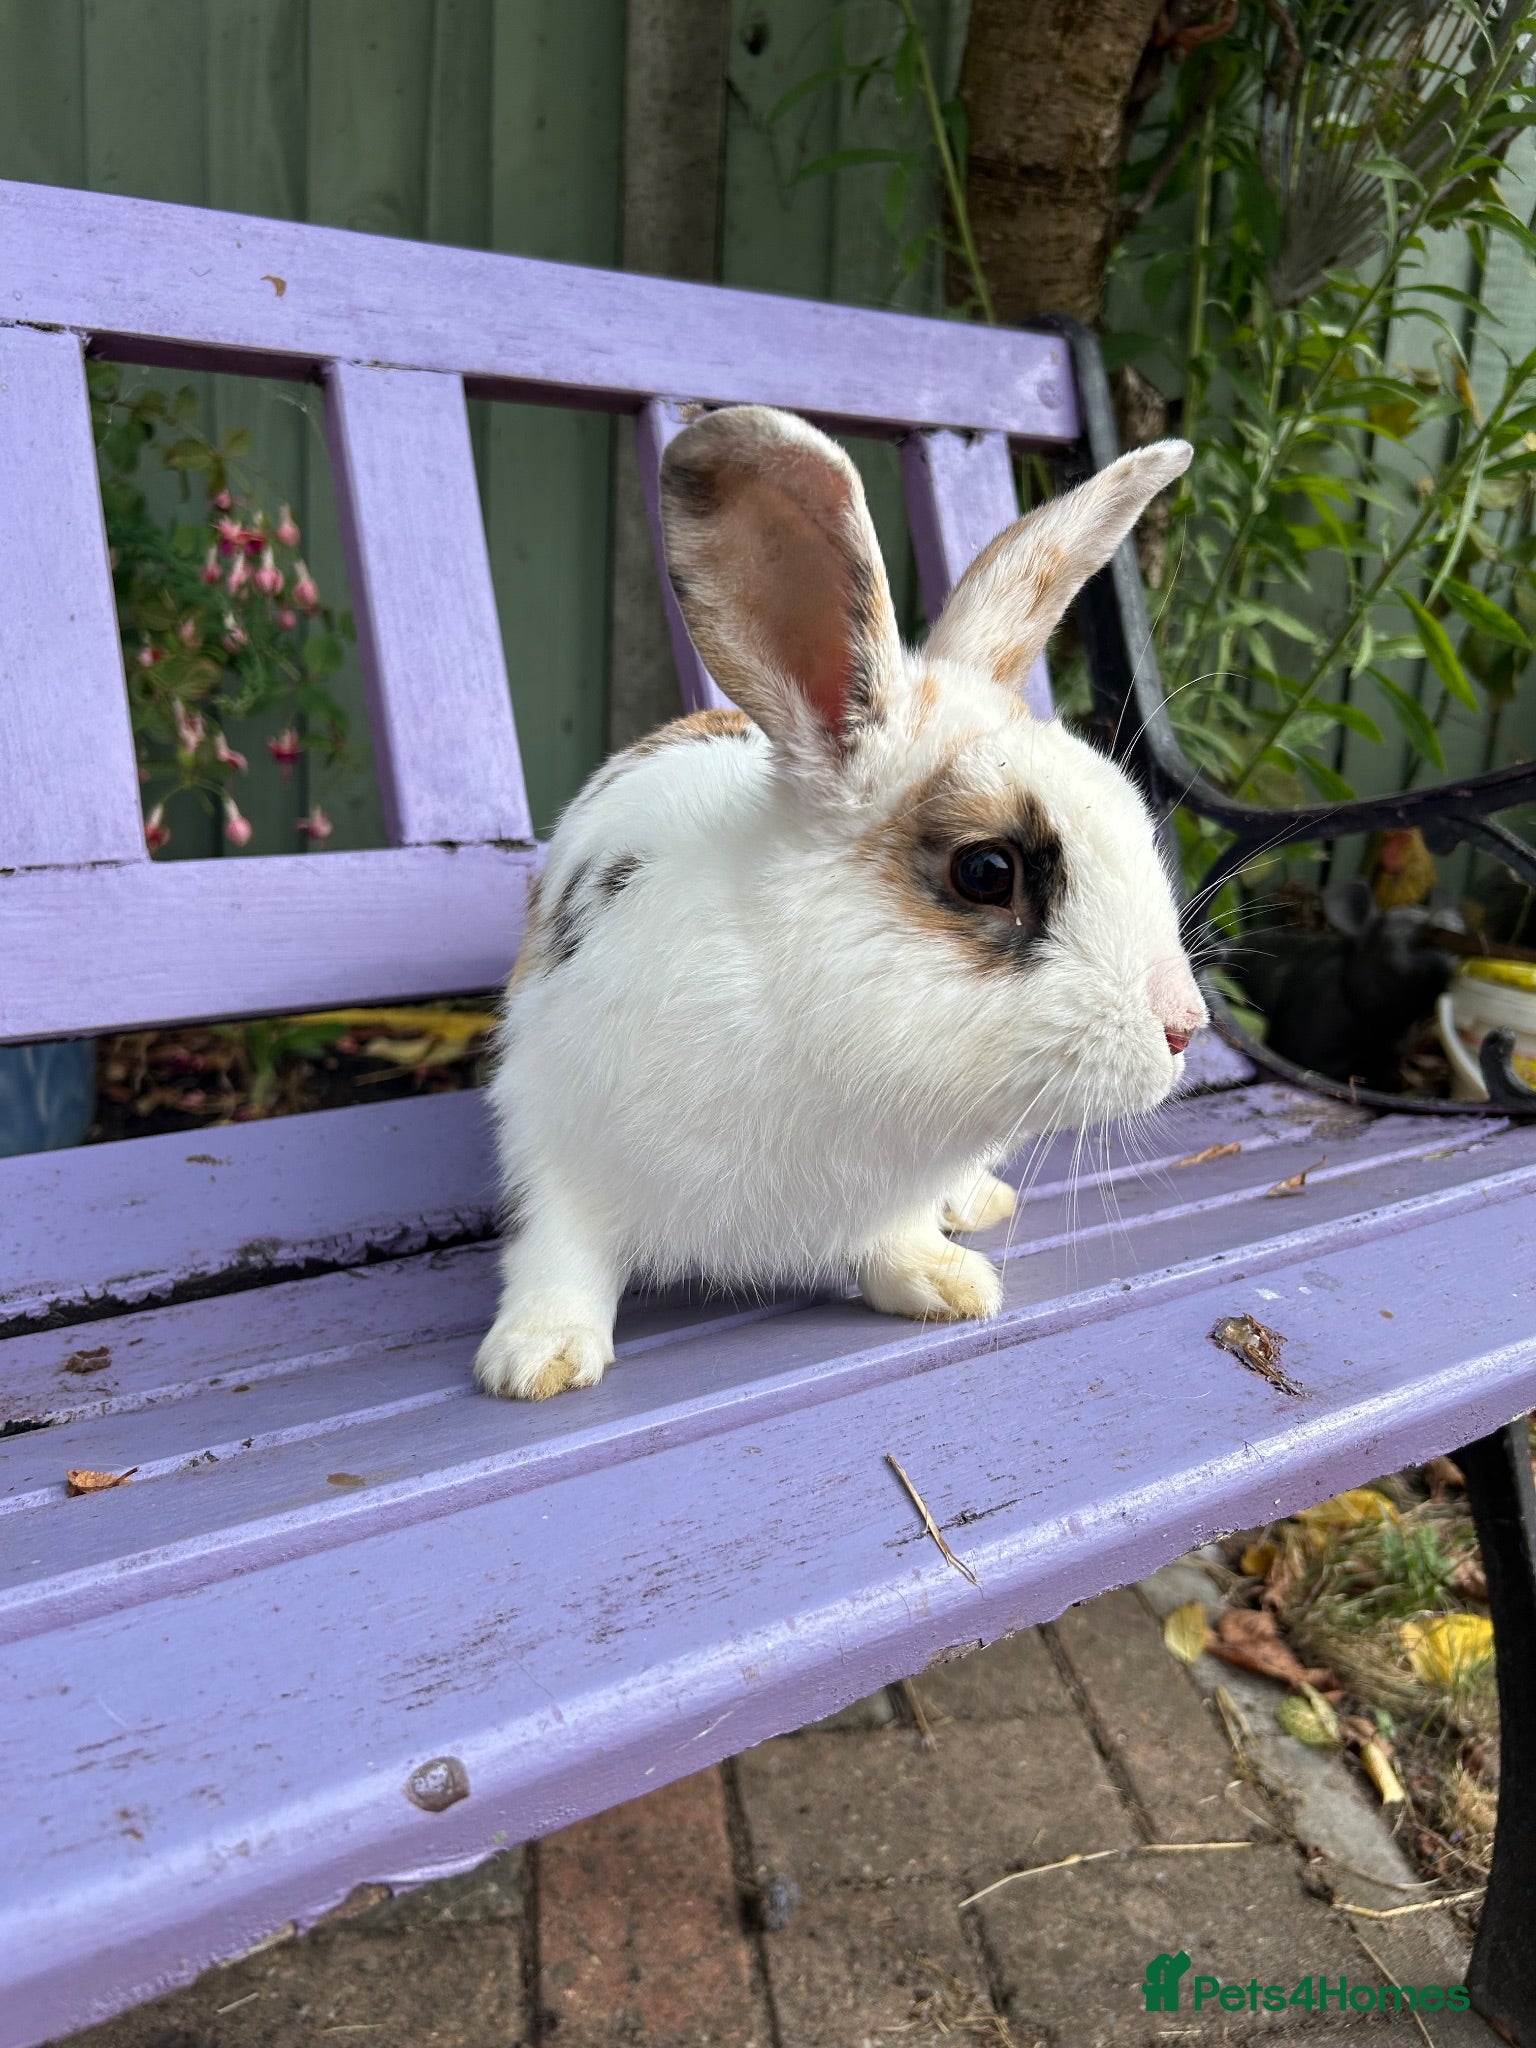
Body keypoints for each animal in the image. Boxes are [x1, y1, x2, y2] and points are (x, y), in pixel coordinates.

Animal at [475, 405, 1205, 1400]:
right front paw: (537, 1360)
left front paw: (948, 1282)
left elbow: (892, 1239)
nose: (1186, 1025)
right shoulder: (554, 1144)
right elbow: (558, 1253)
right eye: (988, 871)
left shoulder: (886, 1196)